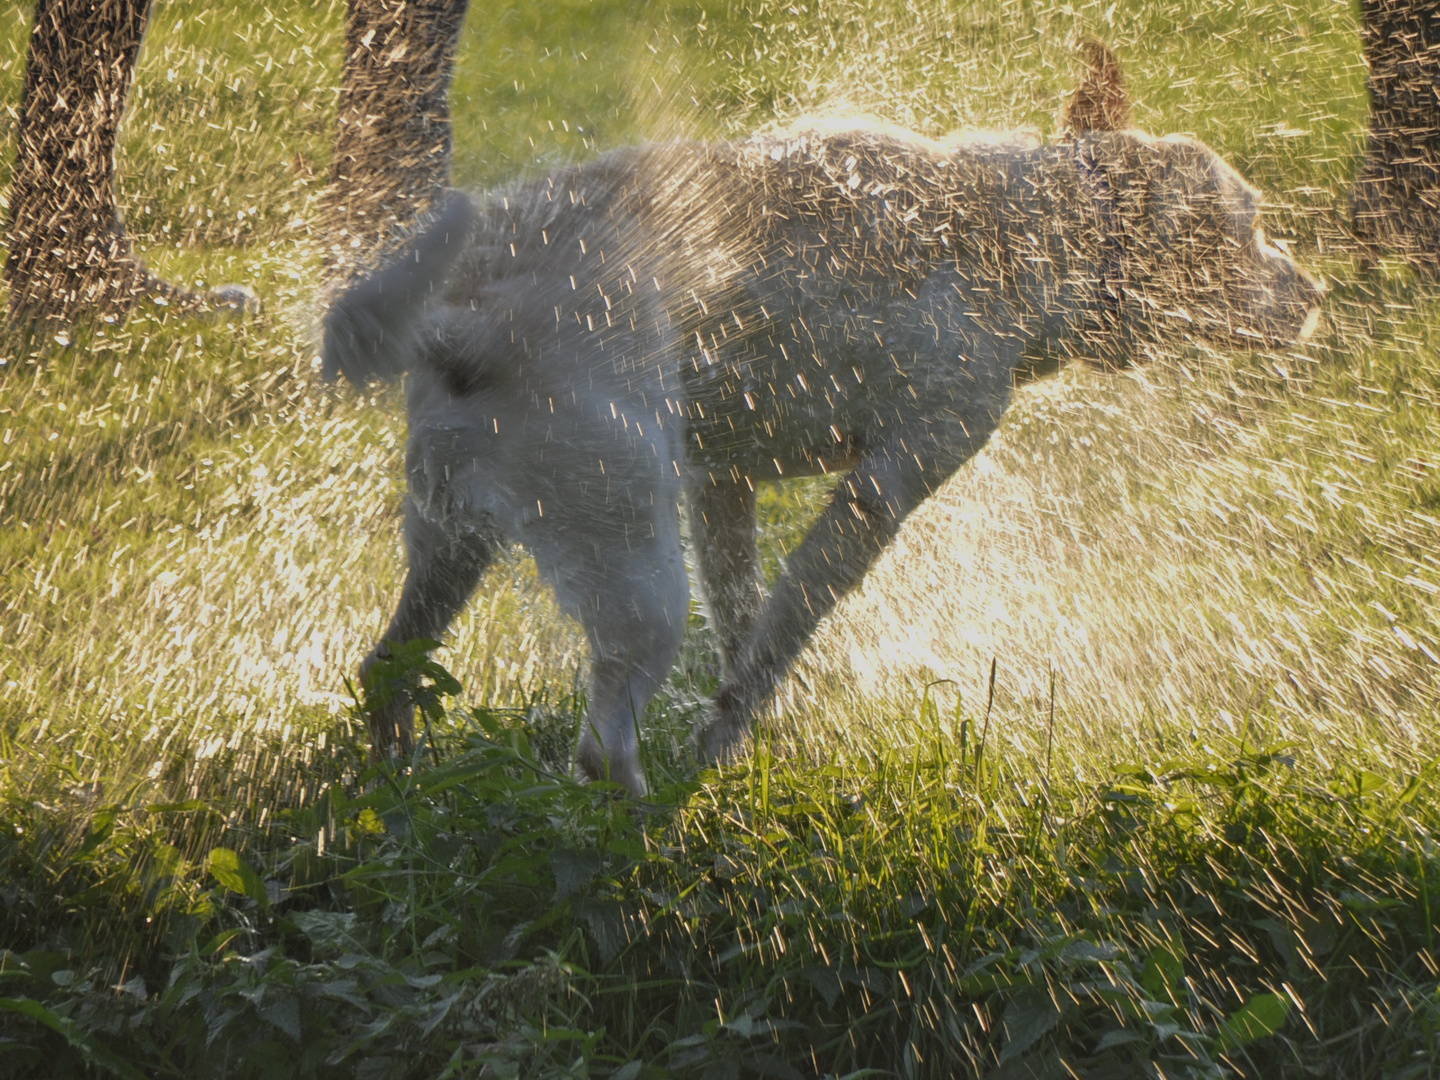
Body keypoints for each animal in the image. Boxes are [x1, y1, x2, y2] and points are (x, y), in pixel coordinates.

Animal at [329, 44, 1324, 794]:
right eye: (1249, 226)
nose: (1316, 293)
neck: (1015, 236)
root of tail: (460, 326)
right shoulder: (886, 486)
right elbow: (786, 627)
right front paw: (727, 745)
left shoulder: (723, 484)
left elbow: (744, 625)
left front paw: (751, 734)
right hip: (635, 569)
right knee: (602, 747)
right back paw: (651, 828)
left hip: (454, 542)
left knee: (384, 670)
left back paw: (396, 783)